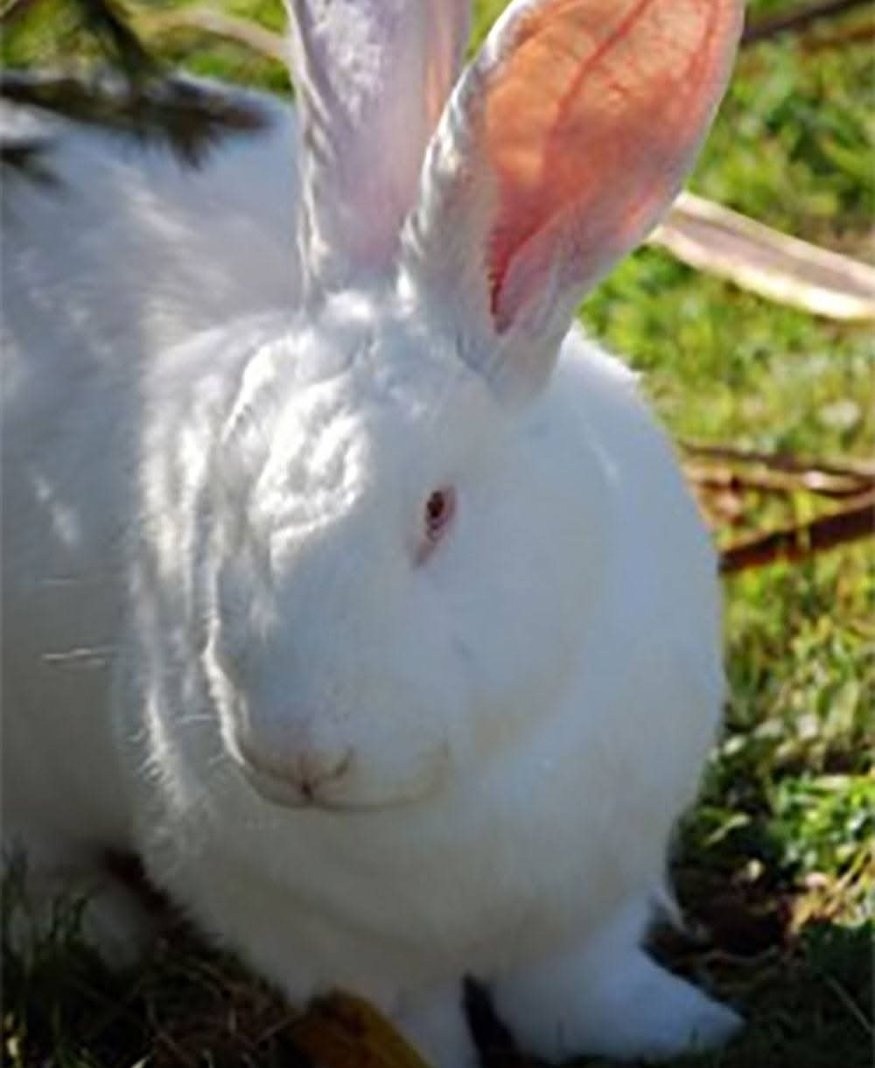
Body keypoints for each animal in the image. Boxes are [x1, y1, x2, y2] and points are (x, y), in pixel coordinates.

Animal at [1, 0, 746, 1065]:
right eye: (223, 491)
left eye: (436, 510)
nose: (296, 756)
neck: (451, 791)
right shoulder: (328, 948)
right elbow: (414, 1024)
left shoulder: (593, 898)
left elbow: (579, 986)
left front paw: (682, 1029)